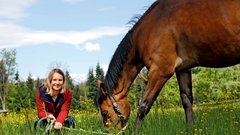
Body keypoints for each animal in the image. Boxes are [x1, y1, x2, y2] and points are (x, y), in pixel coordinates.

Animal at [94, 0, 240, 131]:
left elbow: (143, 106)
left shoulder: (159, 72)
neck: (149, 29)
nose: (109, 132)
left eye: (105, 112)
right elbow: (187, 101)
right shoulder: (183, 70)